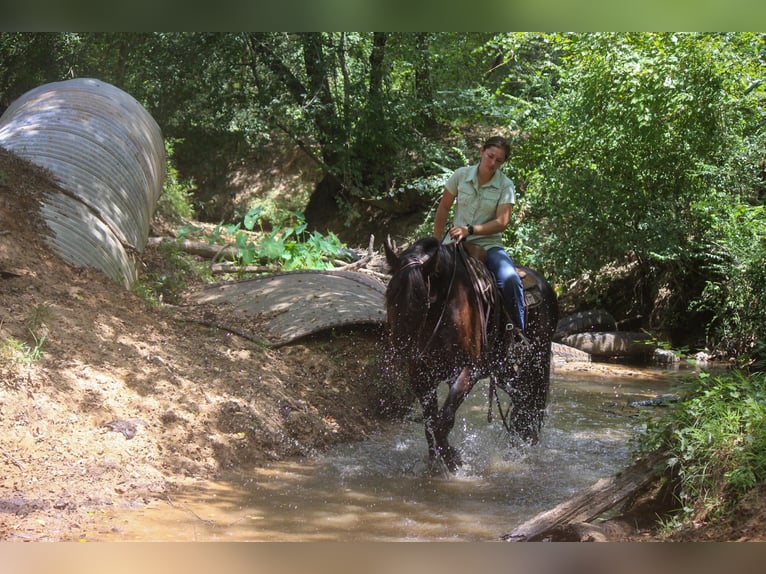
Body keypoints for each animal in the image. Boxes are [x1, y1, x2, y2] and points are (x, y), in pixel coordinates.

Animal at [384, 236, 560, 474]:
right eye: (389, 297)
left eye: (420, 300)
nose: (401, 354)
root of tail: (546, 285)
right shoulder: (422, 375)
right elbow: (430, 422)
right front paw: (435, 463)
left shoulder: (470, 370)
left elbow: (444, 419)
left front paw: (454, 461)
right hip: (503, 369)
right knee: (522, 396)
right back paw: (518, 442)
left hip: (537, 357)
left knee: (532, 397)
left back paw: (524, 445)